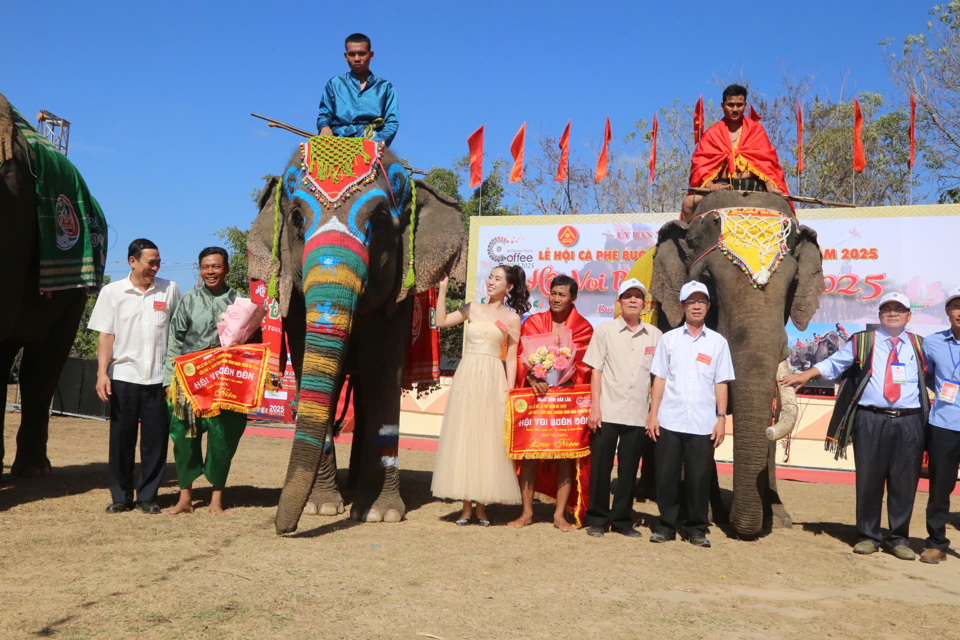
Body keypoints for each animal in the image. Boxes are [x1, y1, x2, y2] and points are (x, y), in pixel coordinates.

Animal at [248, 140, 464, 536]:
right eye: (297, 218)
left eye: (378, 220)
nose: (283, 529)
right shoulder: (297, 306)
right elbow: (310, 368)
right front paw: (321, 507)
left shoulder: (397, 301)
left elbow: (382, 372)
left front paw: (379, 514)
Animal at [652, 191, 824, 540]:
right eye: (706, 281)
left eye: (793, 284)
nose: (741, 528)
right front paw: (698, 513)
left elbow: (772, 408)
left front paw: (778, 517)